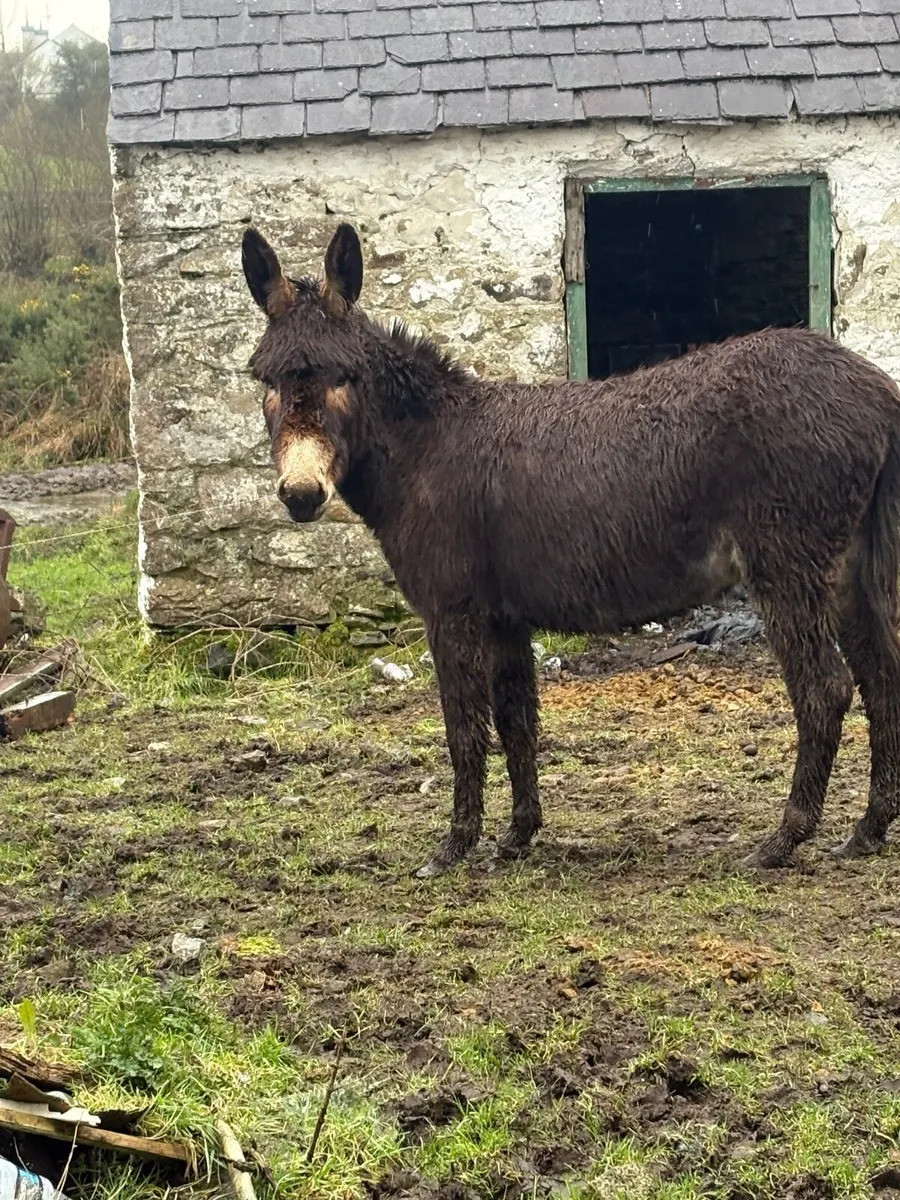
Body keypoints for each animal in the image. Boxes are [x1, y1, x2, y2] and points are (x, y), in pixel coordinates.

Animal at [241, 221, 900, 879]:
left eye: (343, 377)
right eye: (266, 380)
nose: (301, 495)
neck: (426, 448)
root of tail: (876, 391)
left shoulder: (450, 611)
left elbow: (463, 728)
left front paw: (454, 848)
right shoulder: (503, 616)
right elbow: (516, 720)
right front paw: (516, 836)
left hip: (787, 566)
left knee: (826, 690)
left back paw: (784, 839)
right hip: (848, 567)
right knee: (881, 678)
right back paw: (867, 831)